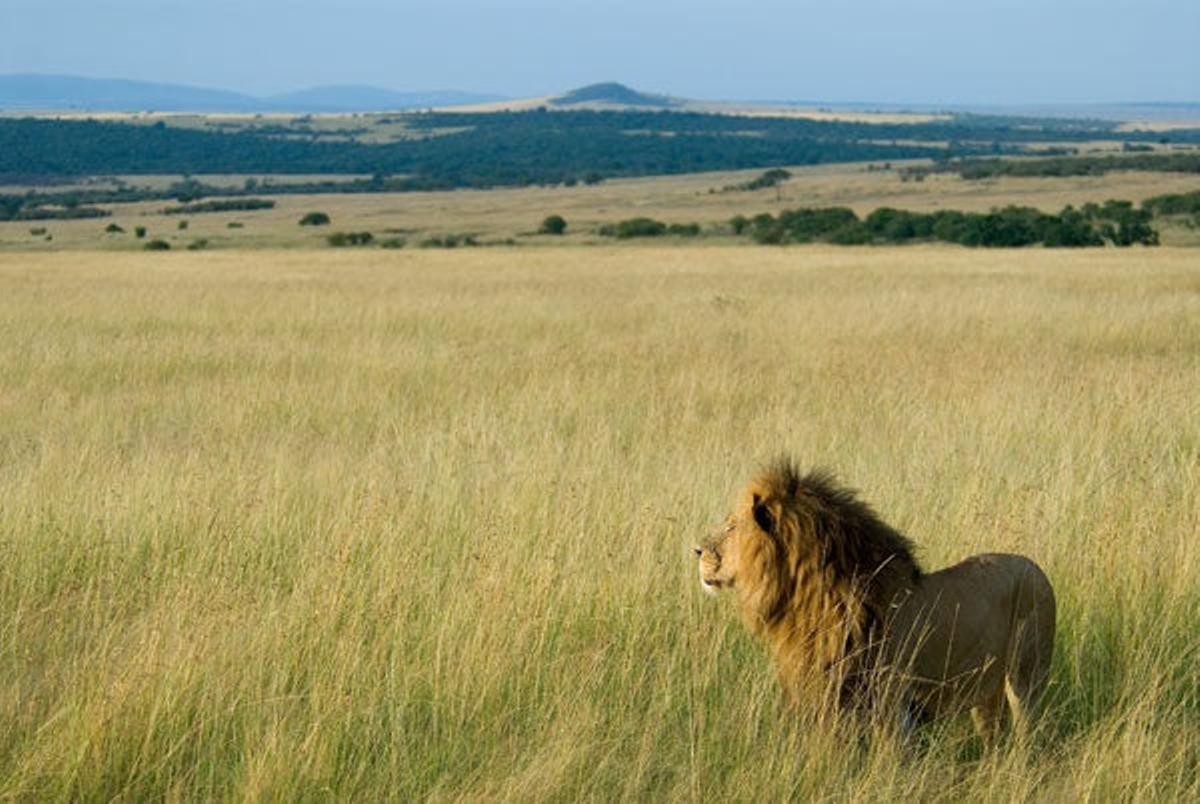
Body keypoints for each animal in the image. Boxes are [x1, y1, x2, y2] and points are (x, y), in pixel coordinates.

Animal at [696, 459, 1055, 742]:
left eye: (731, 527)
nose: (696, 551)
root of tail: (1037, 568)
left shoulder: (891, 705)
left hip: (1026, 678)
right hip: (986, 694)